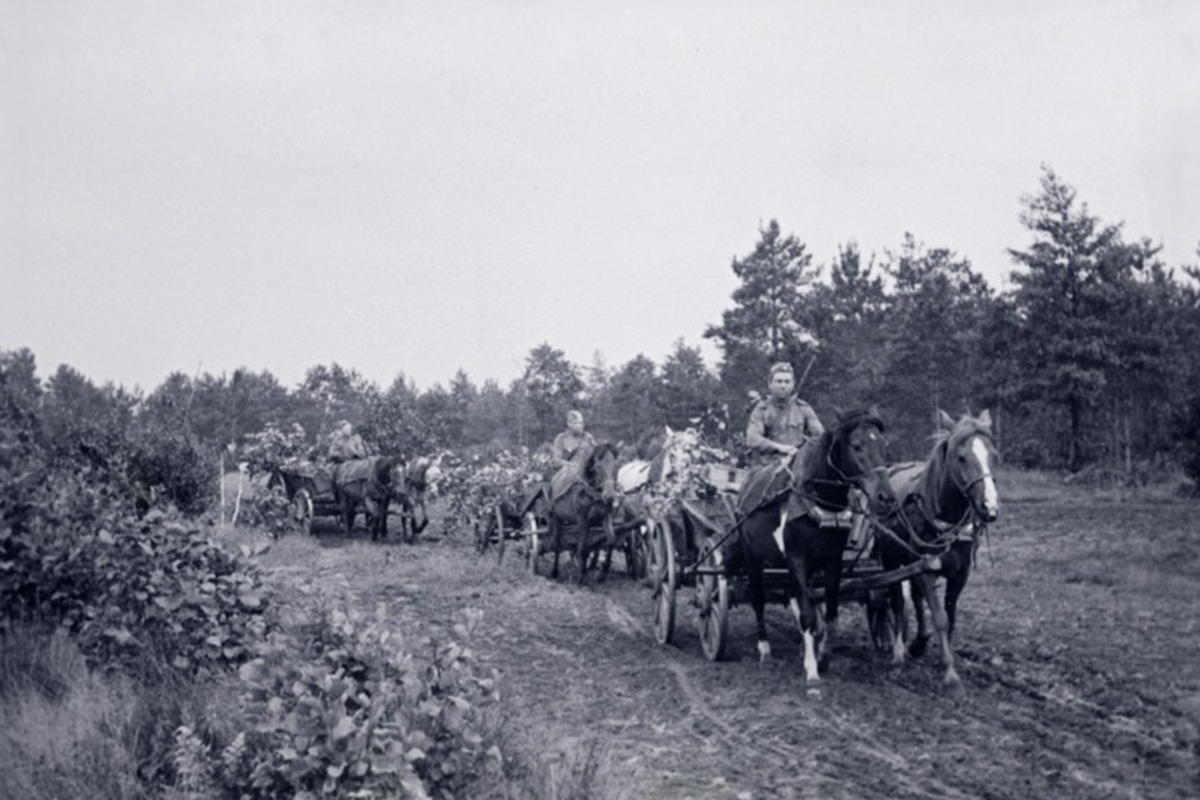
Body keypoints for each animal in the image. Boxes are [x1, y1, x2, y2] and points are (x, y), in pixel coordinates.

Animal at [544, 441, 619, 585]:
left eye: (615, 466)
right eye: (598, 466)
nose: (610, 497)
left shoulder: (606, 516)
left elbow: (611, 540)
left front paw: (603, 571)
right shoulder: (582, 518)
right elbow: (584, 548)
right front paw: (580, 579)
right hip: (556, 516)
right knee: (556, 543)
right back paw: (554, 572)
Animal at [724, 410, 897, 686]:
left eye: (883, 445)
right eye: (856, 445)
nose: (886, 497)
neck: (815, 497)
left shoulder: (831, 559)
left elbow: (830, 611)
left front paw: (823, 655)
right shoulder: (797, 558)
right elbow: (806, 613)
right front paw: (812, 668)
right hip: (753, 558)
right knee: (758, 600)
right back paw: (765, 649)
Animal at [878, 410, 998, 695]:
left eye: (993, 455)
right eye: (961, 457)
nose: (989, 507)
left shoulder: (959, 573)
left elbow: (949, 616)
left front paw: (939, 657)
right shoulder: (923, 566)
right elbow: (940, 618)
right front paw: (951, 676)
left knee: (916, 599)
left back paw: (918, 642)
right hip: (891, 561)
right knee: (896, 601)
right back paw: (898, 651)